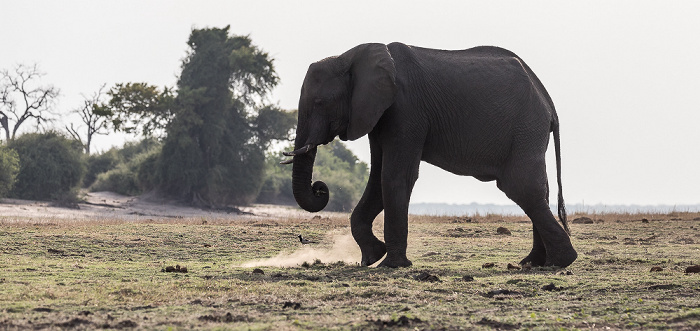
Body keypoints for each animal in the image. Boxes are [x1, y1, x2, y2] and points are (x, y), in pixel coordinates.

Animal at [282, 42, 576, 270]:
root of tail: (548, 102)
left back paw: (560, 261)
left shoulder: (406, 109)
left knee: (521, 188)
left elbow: (395, 176)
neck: (350, 57)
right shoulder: (379, 115)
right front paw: (371, 258)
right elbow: (377, 179)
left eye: (320, 103)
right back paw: (535, 262)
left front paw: (390, 265)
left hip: (525, 128)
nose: (320, 188)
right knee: (538, 191)